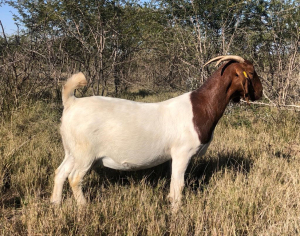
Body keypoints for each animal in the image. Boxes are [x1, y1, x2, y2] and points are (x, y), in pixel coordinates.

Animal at [51, 54, 262, 208]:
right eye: (251, 72)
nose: (260, 93)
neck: (201, 106)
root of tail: (72, 102)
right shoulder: (182, 152)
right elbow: (178, 184)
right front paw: (176, 211)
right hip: (85, 153)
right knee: (74, 178)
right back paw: (84, 207)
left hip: (72, 151)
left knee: (60, 172)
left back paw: (55, 204)